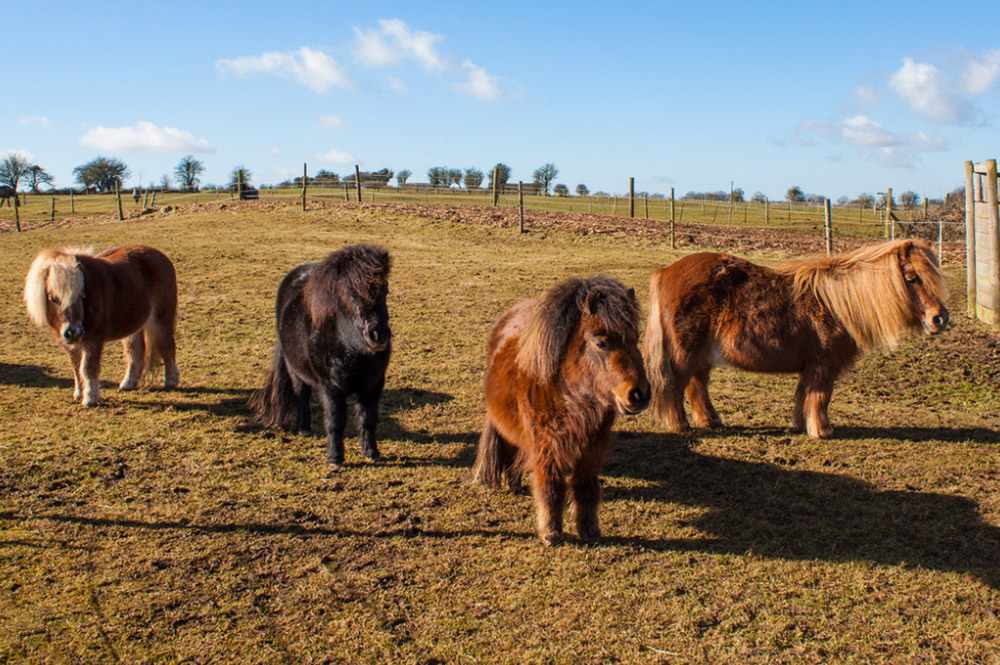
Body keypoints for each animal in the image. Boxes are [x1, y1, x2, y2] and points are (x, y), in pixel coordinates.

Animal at [23, 246, 180, 406]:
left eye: (81, 296)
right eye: (53, 299)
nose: (73, 332)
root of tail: (160, 255)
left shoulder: (94, 339)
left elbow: (88, 367)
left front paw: (90, 398)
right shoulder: (70, 344)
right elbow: (76, 367)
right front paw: (78, 394)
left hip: (161, 321)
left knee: (167, 347)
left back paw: (171, 381)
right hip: (133, 327)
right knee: (135, 352)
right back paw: (128, 384)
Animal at [249, 244, 392, 469]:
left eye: (385, 290)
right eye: (351, 294)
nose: (378, 336)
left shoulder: (373, 385)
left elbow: (368, 419)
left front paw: (372, 453)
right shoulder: (330, 387)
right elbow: (335, 421)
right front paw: (335, 458)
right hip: (296, 372)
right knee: (302, 395)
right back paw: (304, 429)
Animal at [473, 275, 651, 546]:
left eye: (636, 337)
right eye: (600, 342)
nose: (639, 395)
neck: (569, 393)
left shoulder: (592, 447)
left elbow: (587, 488)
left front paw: (589, 531)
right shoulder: (547, 447)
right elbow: (551, 488)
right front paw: (551, 533)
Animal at [642, 239, 949, 439]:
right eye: (911, 277)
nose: (939, 318)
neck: (836, 304)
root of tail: (665, 271)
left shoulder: (812, 368)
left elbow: (804, 396)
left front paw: (800, 426)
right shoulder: (823, 366)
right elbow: (820, 397)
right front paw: (823, 431)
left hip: (701, 355)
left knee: (697, 386)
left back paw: (711, 420)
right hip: (685, 352)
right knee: (676, 384)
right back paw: (680, 425)